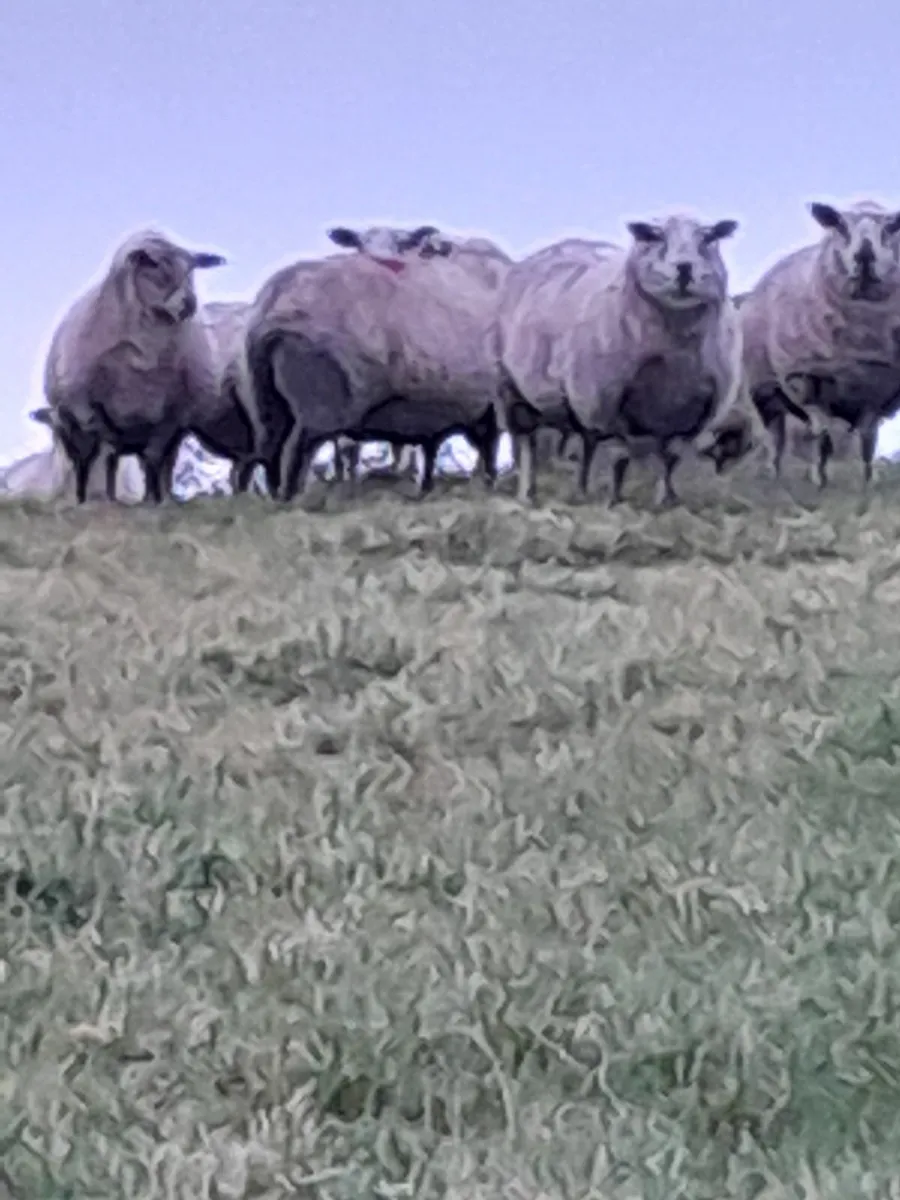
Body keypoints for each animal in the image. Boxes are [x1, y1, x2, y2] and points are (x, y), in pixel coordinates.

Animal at [43, 228, 227, 503]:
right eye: (154, 265)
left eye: (191, 268)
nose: (190, 303)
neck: (145, 349)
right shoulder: (91, 408)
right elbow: (106, 455)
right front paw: (103, 498)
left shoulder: (172, 414)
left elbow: (155, 457)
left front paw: (155, 500)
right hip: (74, 426)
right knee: (88, 461)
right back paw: (89, 497)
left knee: (163, 461)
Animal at [239, 237, 503, 502]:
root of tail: (269, 308)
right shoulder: (485, 409)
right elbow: (486, 449)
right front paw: (485, 484)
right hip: (318, 406)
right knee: (294, 452)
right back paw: (293, 499)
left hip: (271, 403)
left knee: (268, 451)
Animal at [497, 214, 741, 505]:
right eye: (653, 236)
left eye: (708, 237)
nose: (684, 268)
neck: (674, 356)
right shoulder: (608, 406)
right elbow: (619, 459)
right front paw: (614, 501)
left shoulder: (693, 418)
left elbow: (670, 459)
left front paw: (666, 501)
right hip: (516, 390)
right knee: (528, 444)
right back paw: (529, 493)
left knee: (585, 444)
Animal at [740, 199, 900, 488]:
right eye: (840, 225)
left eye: (892, 227)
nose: (864, 255)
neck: (861, 336)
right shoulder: (806, 380)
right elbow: (822, 436)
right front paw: (819, 480)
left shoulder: (877, 391)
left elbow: (868, 441)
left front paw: (869, 482)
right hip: (765, 390)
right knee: (776, 438)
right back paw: (773, 475)